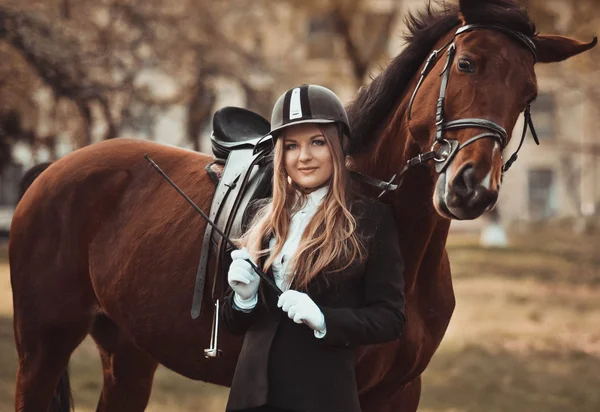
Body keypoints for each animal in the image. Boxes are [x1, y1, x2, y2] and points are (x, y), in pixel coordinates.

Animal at [8, 0, 596, 412]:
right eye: (469, 64)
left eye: (529, 94)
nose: (472, 187)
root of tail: (54, 169)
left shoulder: (399, 392)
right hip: (43, 347)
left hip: (128, 352)